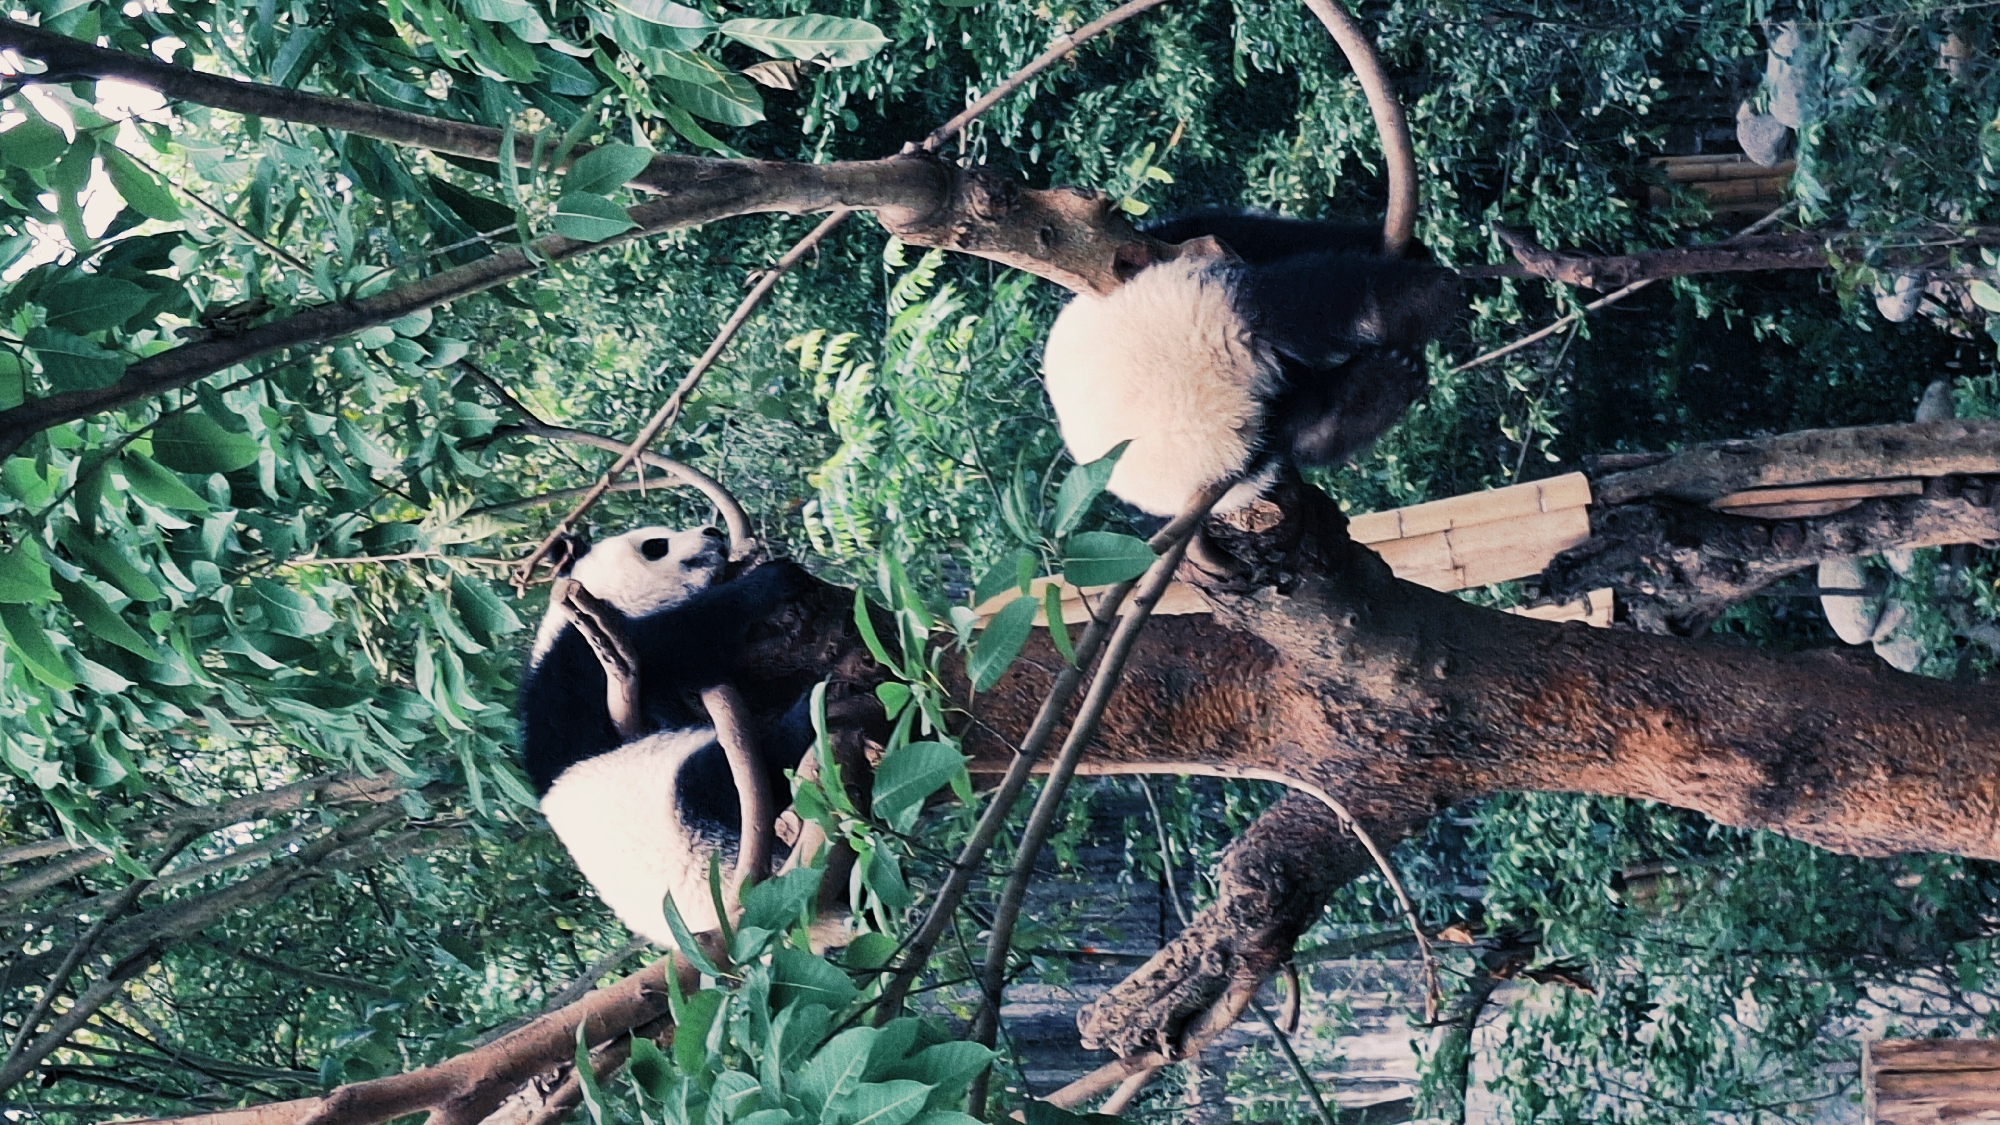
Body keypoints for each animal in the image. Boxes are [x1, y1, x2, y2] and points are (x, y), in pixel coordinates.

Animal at [519, 525, 814, 946]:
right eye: (655, 546)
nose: (713, 530)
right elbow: (681, 639)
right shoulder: (585, 661)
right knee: (729, 777)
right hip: (684, 819)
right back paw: (815, 710)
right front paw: (773, 578)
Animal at [1041, 209, 1460, 516]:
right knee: (1313, 298)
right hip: (1203, 303)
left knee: (1306, 428)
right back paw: (1416, 304)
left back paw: (1378, 390)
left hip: (1255, 443)